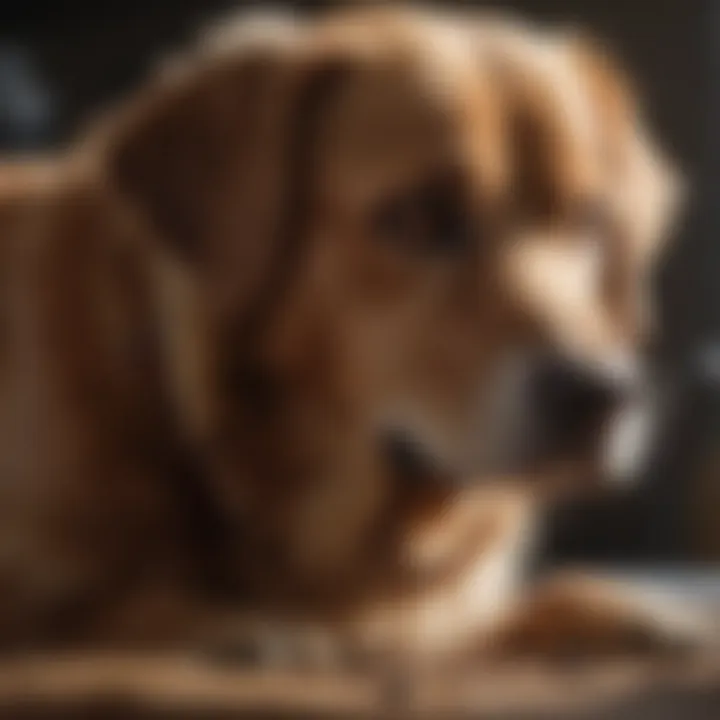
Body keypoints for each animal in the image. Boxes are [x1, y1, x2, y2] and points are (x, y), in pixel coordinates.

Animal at [0, 7, 700, 668]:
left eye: (591, 221)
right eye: (420, 216)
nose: (601, 394)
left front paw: (633, 614)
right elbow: (98, 607)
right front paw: (241, 623)